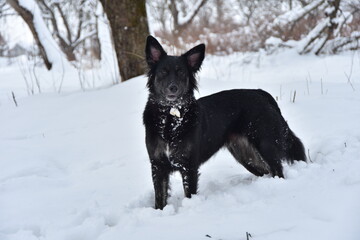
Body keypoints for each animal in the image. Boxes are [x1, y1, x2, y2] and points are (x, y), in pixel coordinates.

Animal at [142, 36, 306, 210]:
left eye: (181, 73)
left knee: (278, 170)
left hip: (265, 145)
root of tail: (262, 94)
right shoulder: (158, 165)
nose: (173, 87)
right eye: (163, 72)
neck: (170, 118)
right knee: (267, 171)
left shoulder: (189, 165)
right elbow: (159, 199)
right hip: (245, 155)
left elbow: (189, 194)